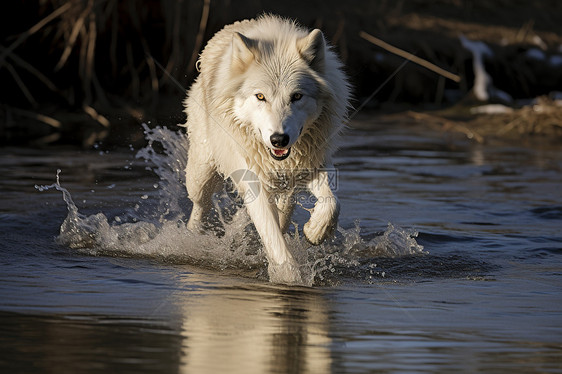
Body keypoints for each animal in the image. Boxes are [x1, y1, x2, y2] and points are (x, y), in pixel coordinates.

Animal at [184, 14, 348, 284]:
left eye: (296, 96)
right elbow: (273, 238)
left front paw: (315, 231)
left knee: (287, 205)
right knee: (200, 205)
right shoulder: (254, 182)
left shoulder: (314, 162)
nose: (279, 139)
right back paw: (192, 239)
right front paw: (290, 278)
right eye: (260, 97)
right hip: (202, 173)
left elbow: (332, 203)